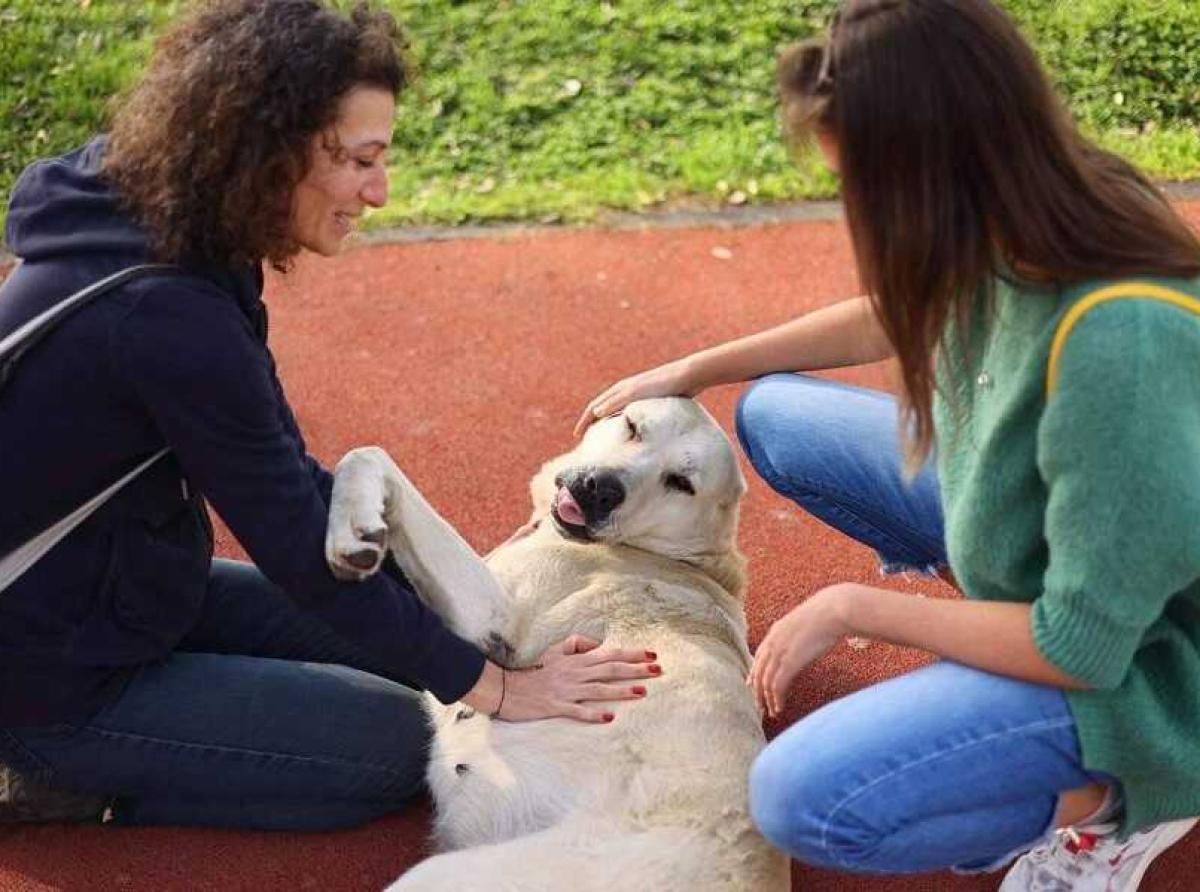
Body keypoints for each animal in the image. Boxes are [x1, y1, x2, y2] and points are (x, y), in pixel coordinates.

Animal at [326, 400, 787, 888]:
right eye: (632, 426)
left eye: (681, 483)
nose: (600, 489)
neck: (676, 556)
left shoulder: (492, 616)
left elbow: (368, 454)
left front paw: (353, 527)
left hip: (448, 875)